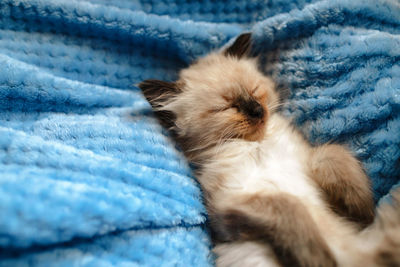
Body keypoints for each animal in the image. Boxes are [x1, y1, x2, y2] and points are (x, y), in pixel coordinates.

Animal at [139, 33, 400, 267]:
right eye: (226, 107)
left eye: (255, 91)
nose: (257, 111)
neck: (258, 143)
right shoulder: (232, 203)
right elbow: (289, 205)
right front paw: (318, 258)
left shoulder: (307, 159)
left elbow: (331, 154)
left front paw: (361, 211)